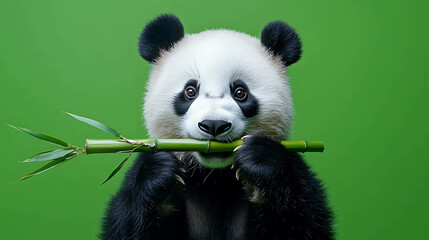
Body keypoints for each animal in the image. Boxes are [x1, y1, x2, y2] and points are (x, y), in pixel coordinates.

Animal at [101, 14, 334, 240]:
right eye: (190, 91)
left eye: (240, 92)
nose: (214, 125)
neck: (215, 177)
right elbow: (125, 225)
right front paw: (160, 171)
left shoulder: (297, 173)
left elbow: (304, 222)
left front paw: (260, 159)